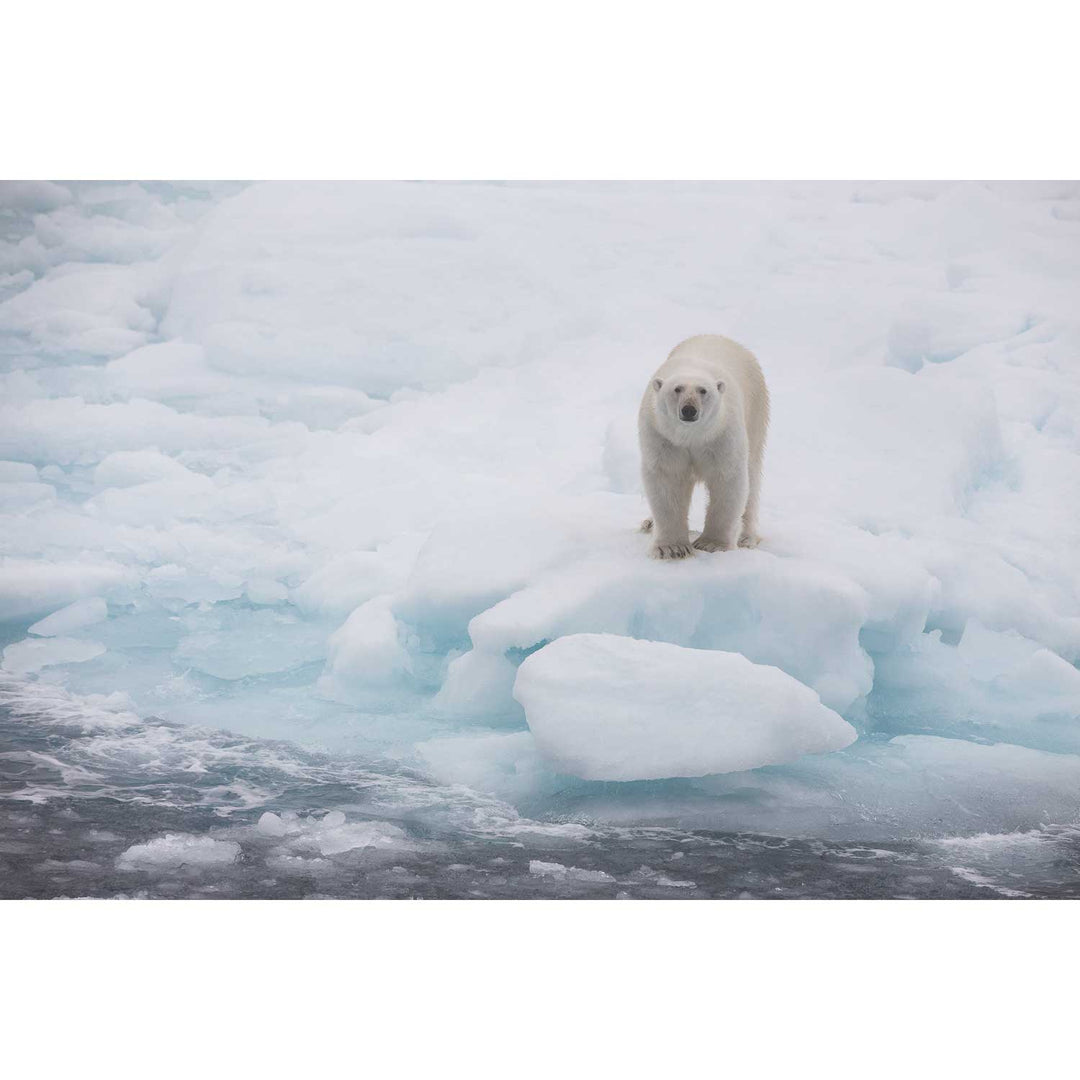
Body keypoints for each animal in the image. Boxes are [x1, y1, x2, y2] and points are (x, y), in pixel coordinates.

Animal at [639, 334, 768, 557]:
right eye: (677, 388)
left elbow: (727, 479)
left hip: (756, 410)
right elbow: (666, 480)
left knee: (752, 475)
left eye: (703, 390)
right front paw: (672, 548)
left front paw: (711, 544)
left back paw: (746, 537)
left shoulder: (721, 435)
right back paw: (648, 523)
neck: (691, 436)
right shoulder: (663, 437)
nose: (689, 409)